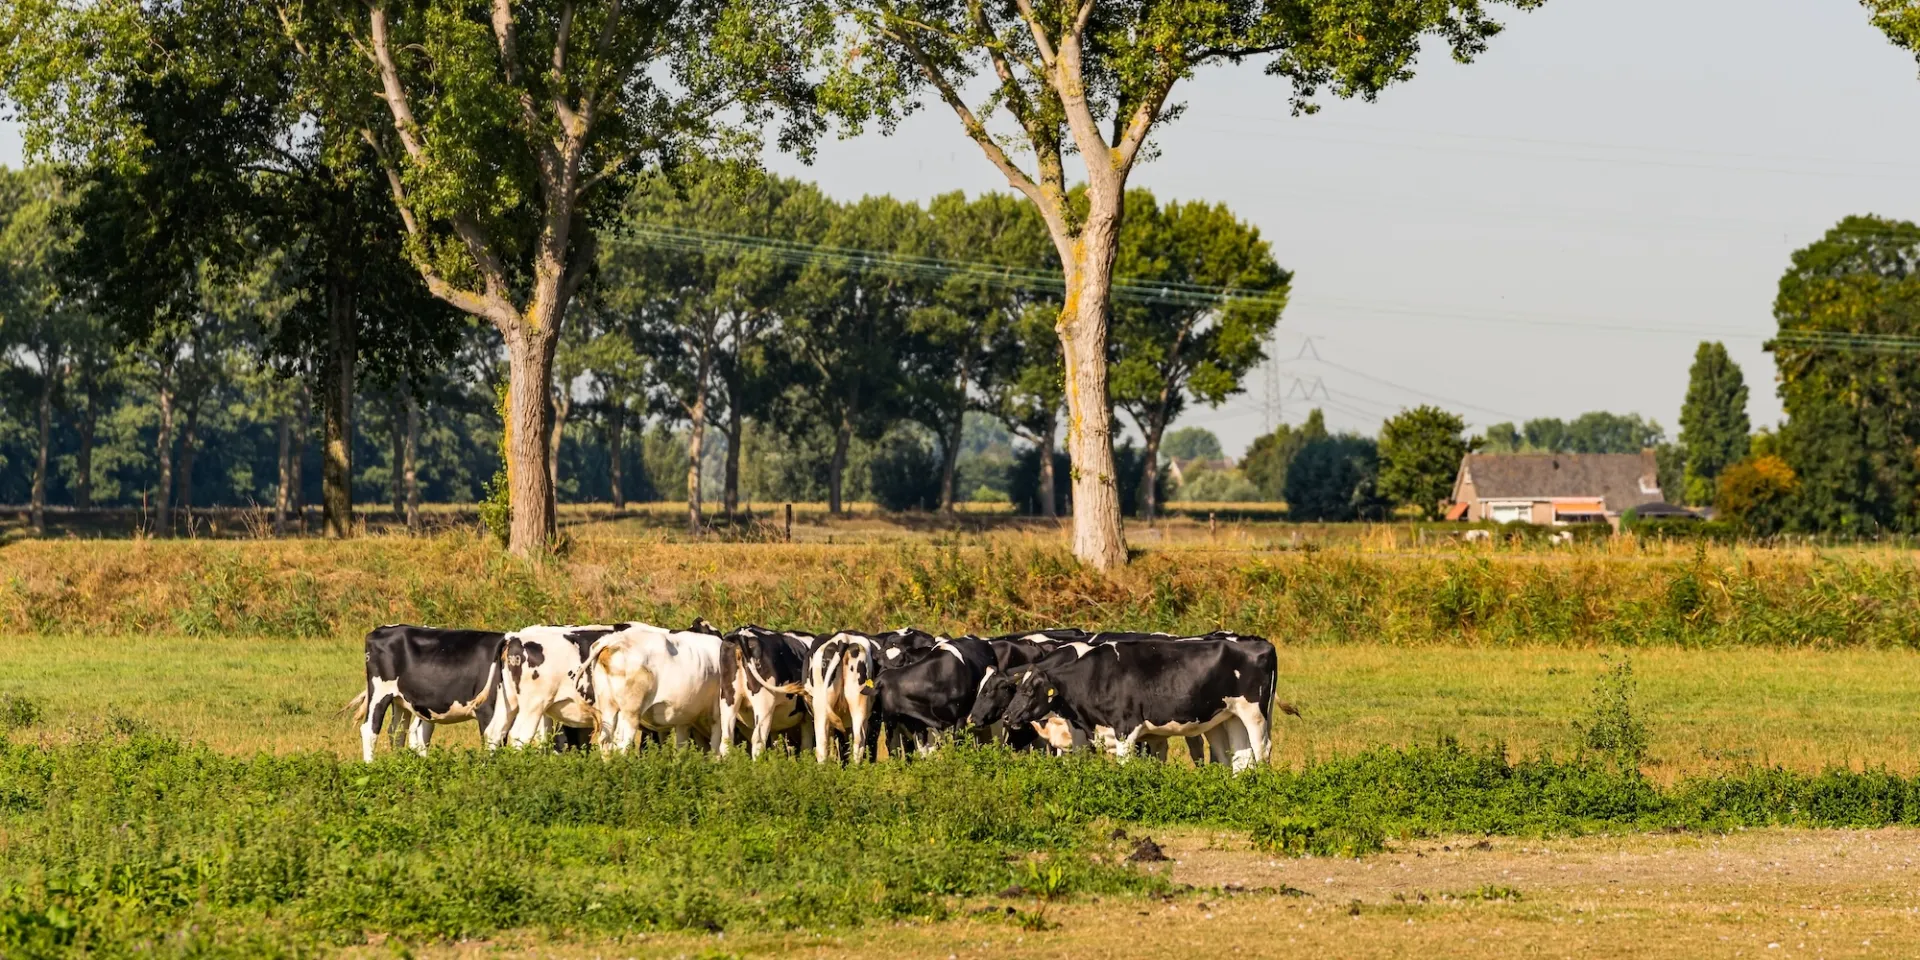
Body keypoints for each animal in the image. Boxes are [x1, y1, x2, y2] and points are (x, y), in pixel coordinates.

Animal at [347, 624, 509, 763]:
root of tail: (380, 630)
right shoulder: (486, 710)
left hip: (400, 700)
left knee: (398, 731)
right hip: (380, 691)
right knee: (370, 729)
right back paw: (370, 766)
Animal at [572, 621, 741, 755]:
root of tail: (613, 639)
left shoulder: (684, 719)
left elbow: (682, 749)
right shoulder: (716, 715)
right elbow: (716, 747)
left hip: (607, 707)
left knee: (605, 742)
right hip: (631, 713)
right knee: (622, 744)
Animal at [725, 625, 819, 757]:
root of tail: (742, 633)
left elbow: (778, 745)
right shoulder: (807, 716)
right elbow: (806, 745)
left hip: (728, 700)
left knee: (726, 739)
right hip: (764, 703)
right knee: (758, 738)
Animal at [992, 637, 1282, 772]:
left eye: (1029, 691)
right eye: (1016, 689)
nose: (1006, 717)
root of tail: (1260, 642)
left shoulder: (1126, 728)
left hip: (1254, 713)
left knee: (1262, 748)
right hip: (1231, 715)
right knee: (1242, 755)